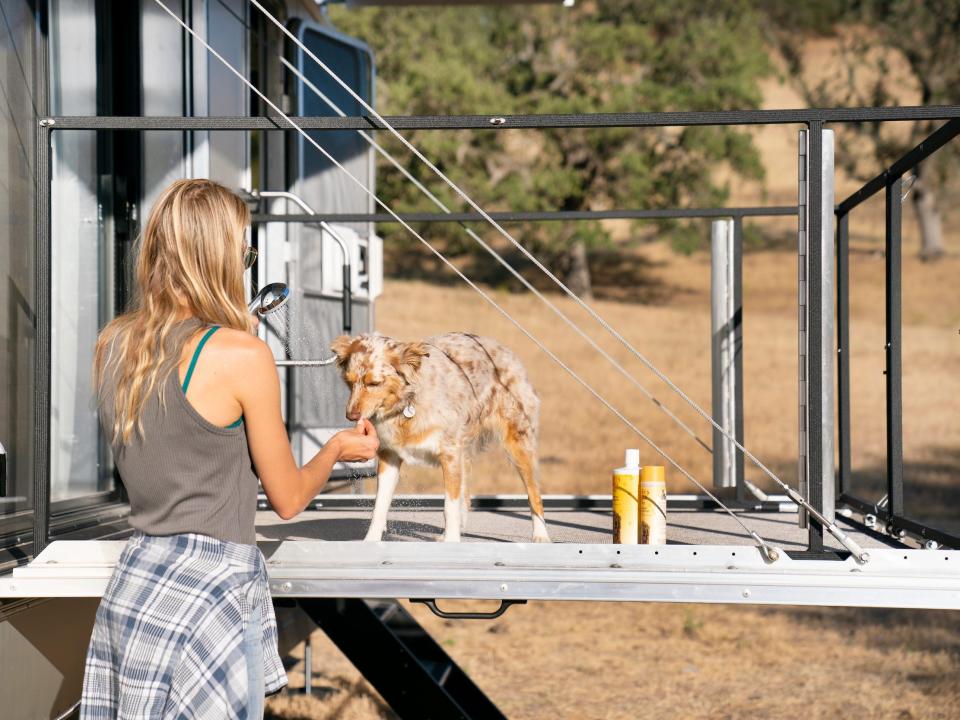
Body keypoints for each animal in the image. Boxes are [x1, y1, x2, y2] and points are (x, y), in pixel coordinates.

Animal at [334, 330, 552, 540]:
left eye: (374, 383)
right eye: (349, 382)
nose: (350, 415)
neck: (408, 404)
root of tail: (503, 349)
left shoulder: (450, 454)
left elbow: (449, 506)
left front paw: (451, 541)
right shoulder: (390, 457)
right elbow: (379, 507)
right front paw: (370, 541)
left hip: (518, 444)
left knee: (534, 494)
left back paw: (540, 535)